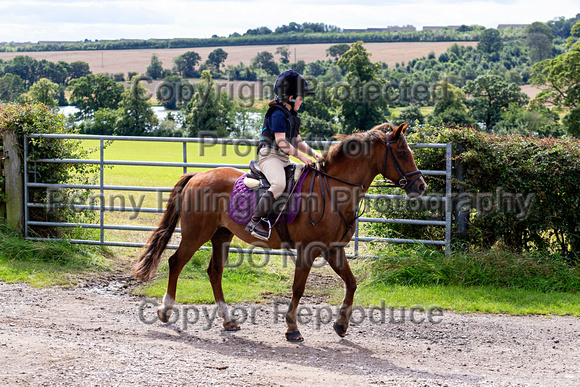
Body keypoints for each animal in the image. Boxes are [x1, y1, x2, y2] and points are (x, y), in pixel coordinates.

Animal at [134, 123, 428, 342]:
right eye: (403, 153)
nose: (421, 186)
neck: (334, 190)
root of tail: (197, 176)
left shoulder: (334, 250)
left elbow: (352, 283)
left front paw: (341, 325)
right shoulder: (307, 250)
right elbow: (298, 288)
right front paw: (292, 328)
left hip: (221, 235)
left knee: (214, 272)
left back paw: (228, 320)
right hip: (197, 233)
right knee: (176, 262)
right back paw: (165, 311)